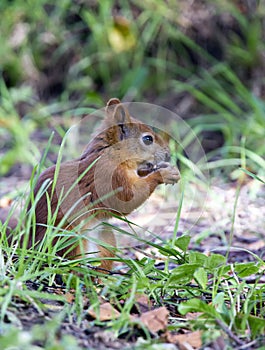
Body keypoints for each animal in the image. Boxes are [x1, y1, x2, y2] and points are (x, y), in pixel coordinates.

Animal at [5, 98, 180, 274]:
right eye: (148, 139)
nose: (168, 152)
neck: (111, 154)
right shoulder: (111, 178)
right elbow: (129, 198)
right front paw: (165, 173)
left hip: (106, 240)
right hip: (69, 237)